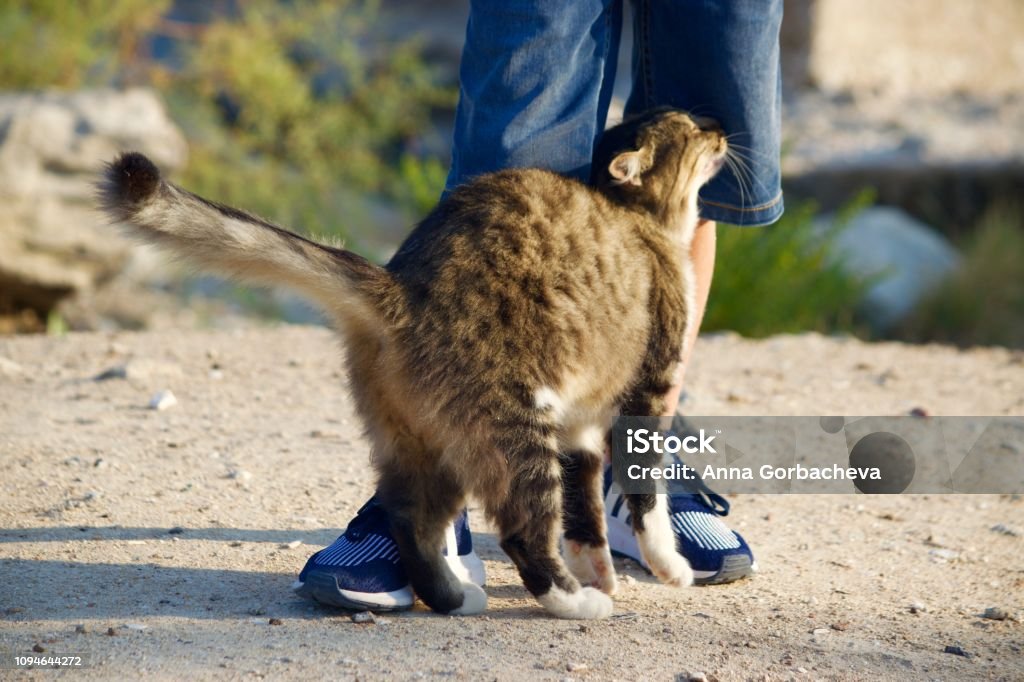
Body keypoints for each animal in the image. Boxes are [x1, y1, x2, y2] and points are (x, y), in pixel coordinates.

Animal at [99, 106, 729, 614]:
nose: (721, 127)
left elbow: (584, 512)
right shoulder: (646, 393)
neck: (642, 222)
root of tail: (399, 287)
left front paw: (597, 567)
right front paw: (665, 566)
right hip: (516, 432)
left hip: (424, 443)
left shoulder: (579, 425)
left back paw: (455, 596)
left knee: (411, 522)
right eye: (691, 128)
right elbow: (643, 495)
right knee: (522, 532)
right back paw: (575, 604)